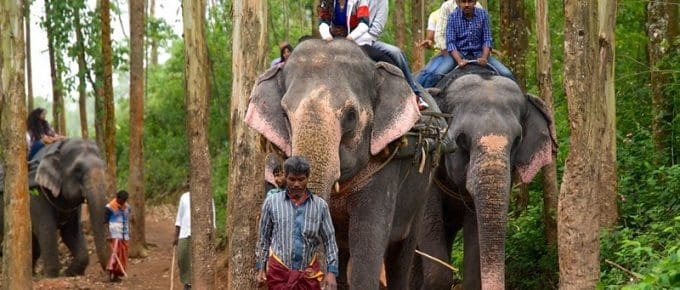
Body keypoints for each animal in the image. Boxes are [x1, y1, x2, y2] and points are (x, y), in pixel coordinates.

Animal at [0, 138, 109, 276]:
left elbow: (70, 232)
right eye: (77, 170)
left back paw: (32, 274)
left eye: (104, 167)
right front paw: (52, 276)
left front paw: (69, 273)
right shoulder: (37, 193)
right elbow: (47, 229)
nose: (111, 275)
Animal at [247, 39, 432, 290]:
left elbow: (367, 241)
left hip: (422, 190)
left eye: (351, 115)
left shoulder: (384, 167)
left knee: (402, 252)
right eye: (284, 114)